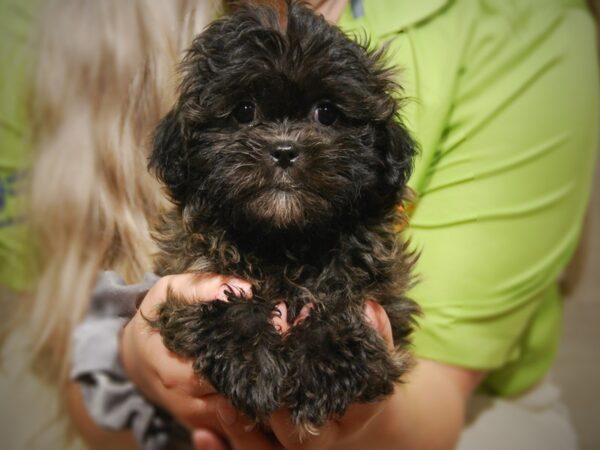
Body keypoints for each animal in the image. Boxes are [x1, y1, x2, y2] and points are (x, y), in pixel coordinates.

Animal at [149, 0, 420, 430]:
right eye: (244, 111)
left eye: (326, 113)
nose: (284, 150)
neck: (285, 241)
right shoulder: (184, 277)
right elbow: (221, 306)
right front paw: (250, 362)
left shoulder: (386, 300)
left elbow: (341, 295)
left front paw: (325, 358)